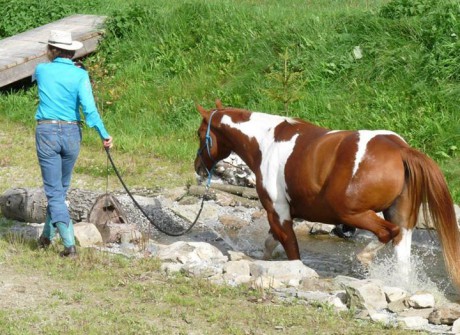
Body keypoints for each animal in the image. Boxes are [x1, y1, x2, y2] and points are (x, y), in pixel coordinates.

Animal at [194, 98, 460, 290]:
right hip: (400, 220)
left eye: (199, 134)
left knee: (388, 232)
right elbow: (270, 243)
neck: (266, 142)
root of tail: (400, 149)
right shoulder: (285, 214)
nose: (197, 167)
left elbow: (291, 250)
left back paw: (364, 258)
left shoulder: (278, 213)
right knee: (400, 250)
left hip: (351, 212)